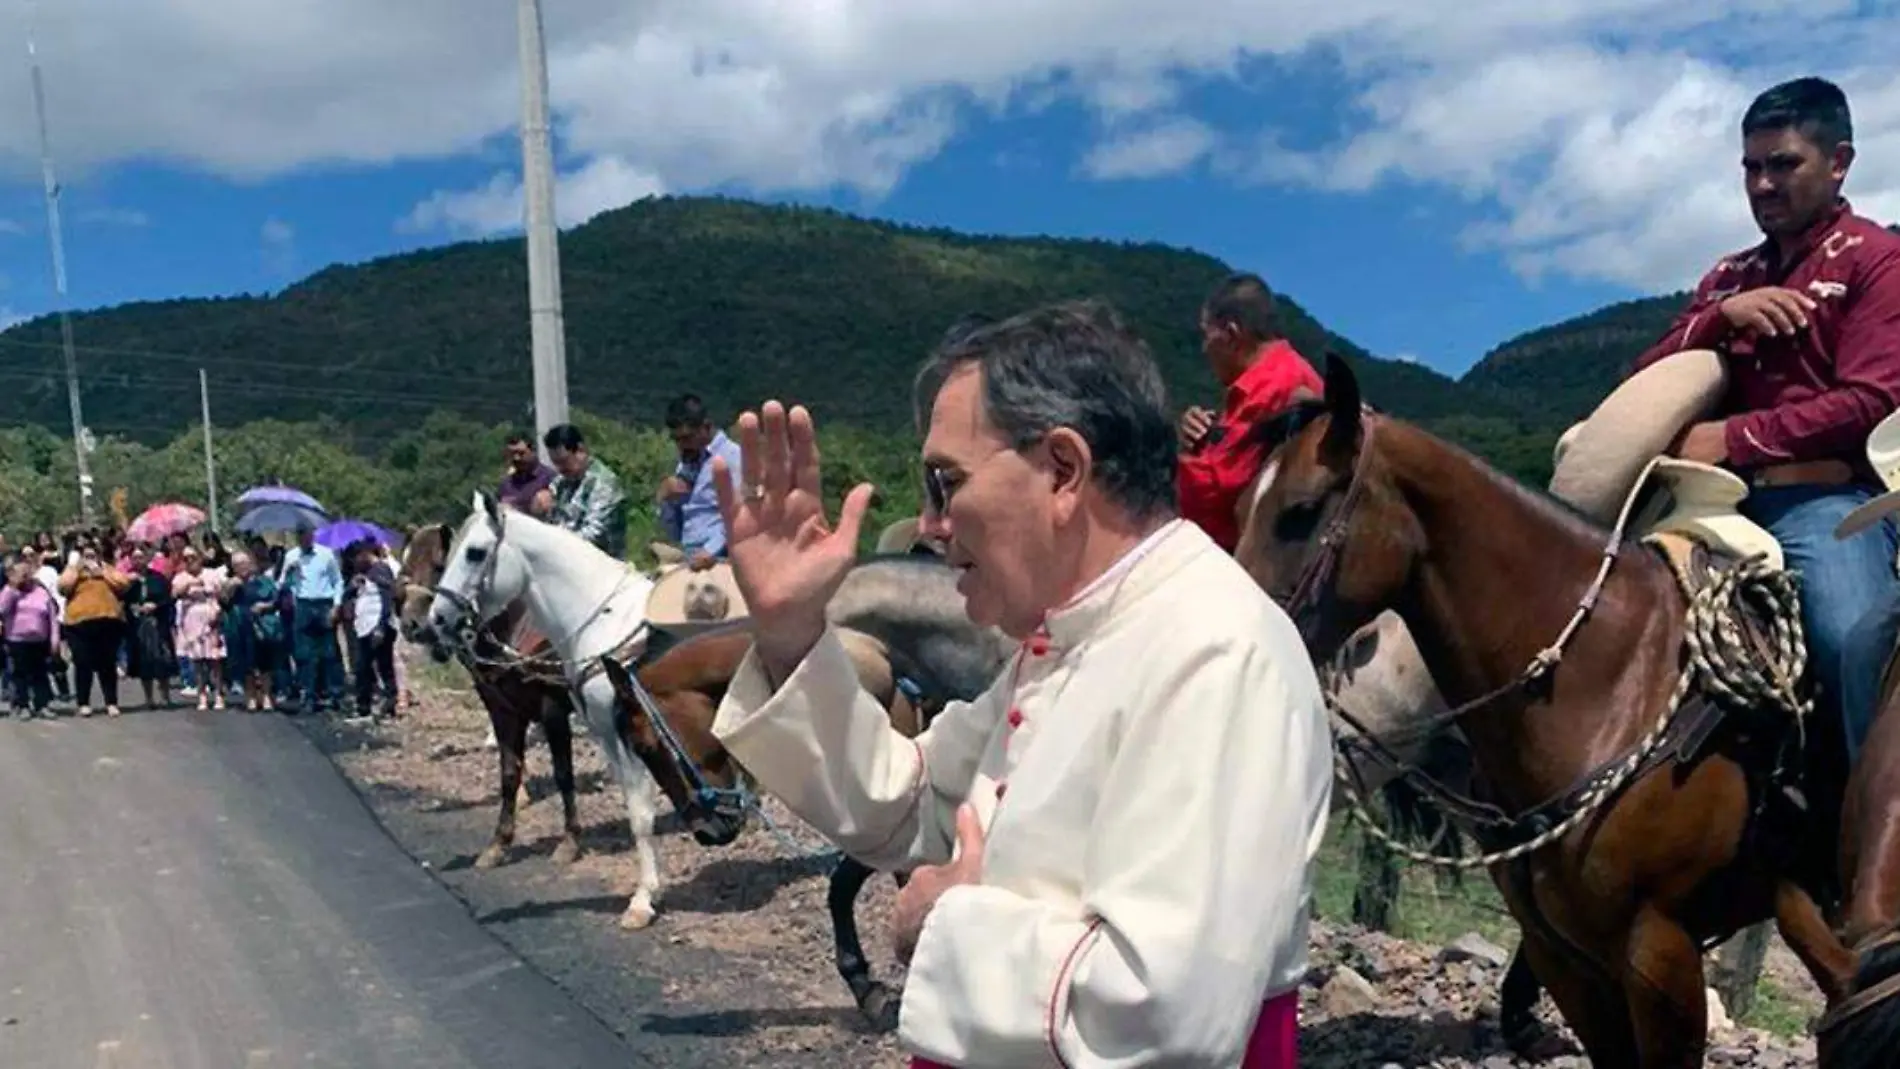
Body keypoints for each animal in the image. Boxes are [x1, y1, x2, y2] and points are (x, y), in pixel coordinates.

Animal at [423, 489, 668, 930]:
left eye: (475, 553)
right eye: (446, 557)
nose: (435, 621)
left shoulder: (599, 725)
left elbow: (635, 808)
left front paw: (641, 901)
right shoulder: (594, 729)